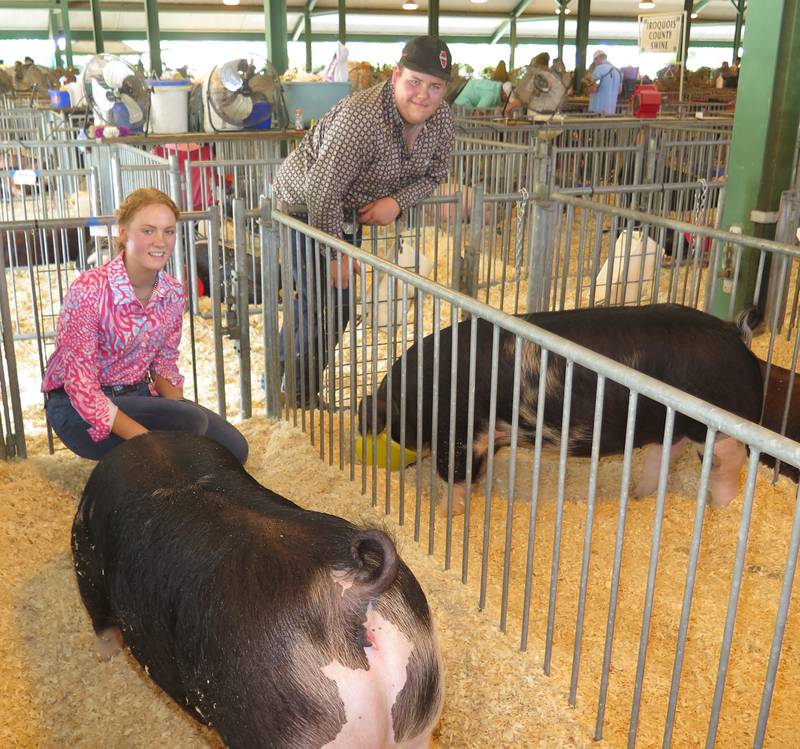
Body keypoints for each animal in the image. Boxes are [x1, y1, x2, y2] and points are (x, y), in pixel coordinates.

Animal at [360, 300, 764, 512]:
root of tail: (735, 333)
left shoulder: (461, 431)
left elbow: (456, 475)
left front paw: (448, 513)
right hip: (669, 420)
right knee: (666, 450)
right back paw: (640, 494)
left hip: (720, 426)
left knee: (728, 462)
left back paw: (722, 508)